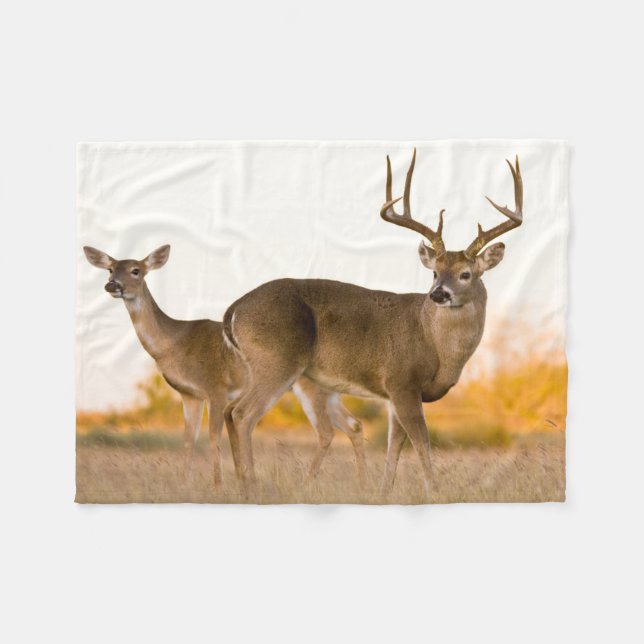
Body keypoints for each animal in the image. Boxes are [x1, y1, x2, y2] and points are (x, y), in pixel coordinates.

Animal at [82, 245, 366, 485]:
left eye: (136, 270)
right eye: (110, 268)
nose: (112, 285)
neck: (173, 343)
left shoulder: (215, 388)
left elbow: (213, 436)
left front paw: (218, 484)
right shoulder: (190, 395)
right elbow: (188, 440)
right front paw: (186, 484)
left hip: (307, 386)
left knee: (327, 431)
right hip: (327, 390)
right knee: (352, 425)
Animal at [222, 150, 523, 493]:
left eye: (466, 274)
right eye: (435, 272)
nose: (438, 294)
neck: (435, 344)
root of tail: (234, 310)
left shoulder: (394, 394)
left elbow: (395, 446)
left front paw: (383, 491)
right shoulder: (401, 380)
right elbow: (421, 442)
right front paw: (434, 491)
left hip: (260, 367)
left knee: (229, 411)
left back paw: (241, 483)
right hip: (277, 361)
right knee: (243, 414)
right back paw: (251, 486)